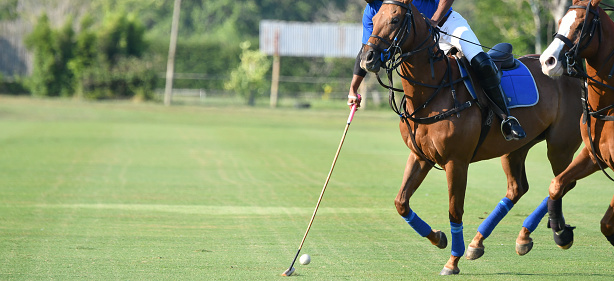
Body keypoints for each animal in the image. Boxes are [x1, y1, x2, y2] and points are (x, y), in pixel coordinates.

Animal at [364, 0, 584, 274]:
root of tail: (572, 72)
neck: (432, 91)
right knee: (517, 188)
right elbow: (401, 202)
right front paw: (438, 238)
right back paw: (493, 241)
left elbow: (454, 210)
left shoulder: (456, 161)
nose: (368, 57)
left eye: (394, 20)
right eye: (374, 20)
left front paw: (452, 261)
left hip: (560, 145)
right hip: (516, 147)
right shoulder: (420, 156)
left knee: (562, 182)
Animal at [540, 0, 614, 248]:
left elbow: (606, 223)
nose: (547, 61)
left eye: (581, 25)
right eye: (561, 21)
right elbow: (556, 184)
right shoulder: (592, 155)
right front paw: (560, 232)